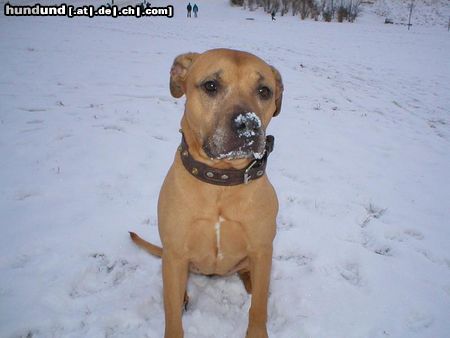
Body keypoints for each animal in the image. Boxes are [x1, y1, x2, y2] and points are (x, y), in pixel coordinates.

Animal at [130, 48, 284, 338]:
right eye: (211, 85)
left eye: (264, 91)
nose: (248, 124)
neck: (220, 183)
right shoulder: (175, 252)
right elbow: (172, 315)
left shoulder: (261, 248)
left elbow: (258, 308)